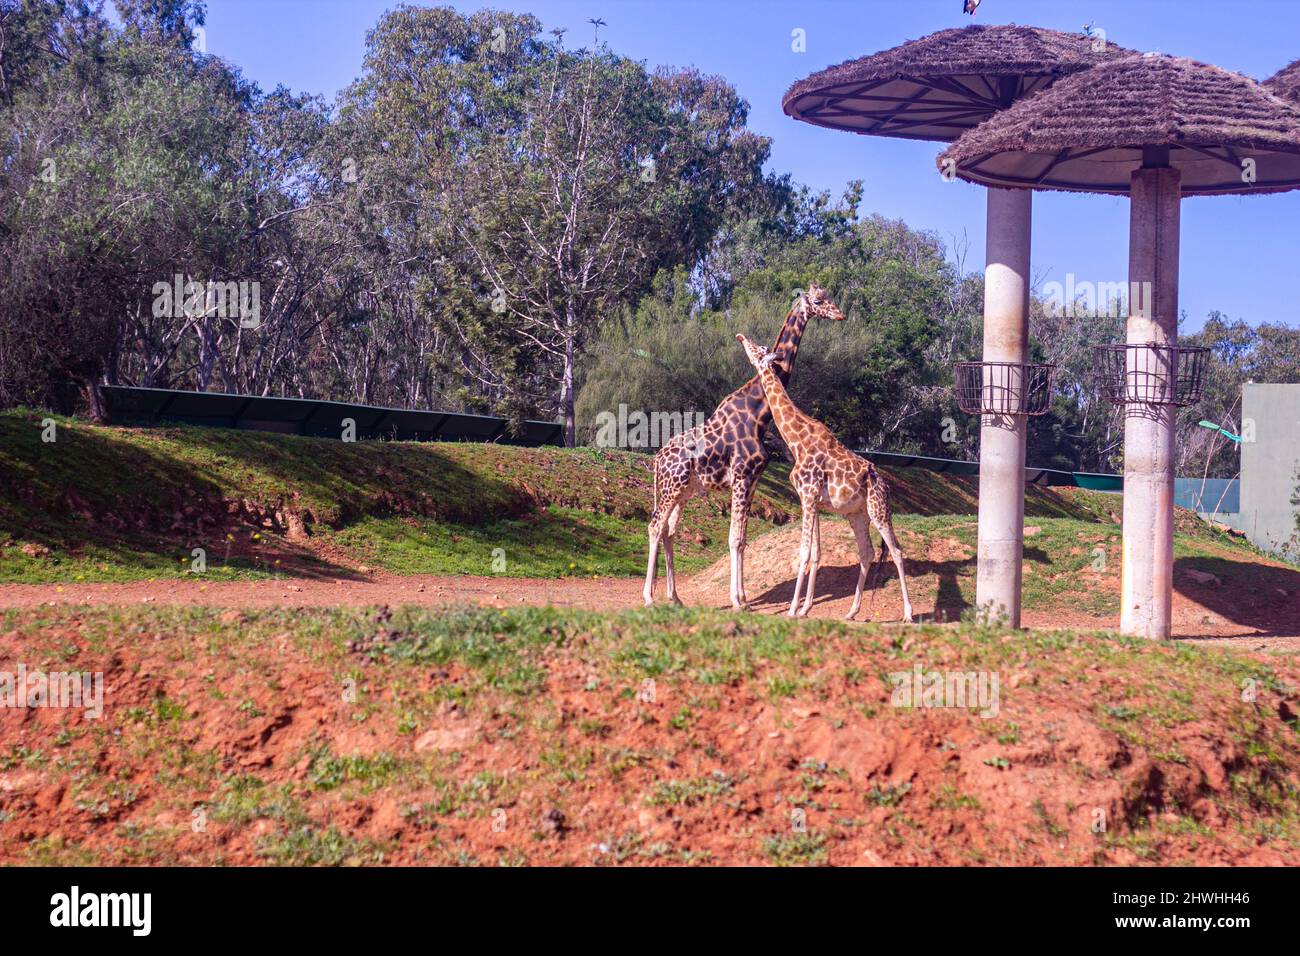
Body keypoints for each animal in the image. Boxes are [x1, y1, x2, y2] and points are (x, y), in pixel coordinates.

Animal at [643, 284, 846, 609]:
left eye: (829, 297)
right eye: (818, 300)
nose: (839, 314)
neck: (759, 412)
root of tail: (657, 461)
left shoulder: (752, 480)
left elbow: (742, 539)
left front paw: (745, 599)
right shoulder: (741, 476)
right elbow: (734, 539)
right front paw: (737, 601)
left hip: (683, 492)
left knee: (668, 531)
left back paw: (675, 597)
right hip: (671, 487)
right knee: (654, 527)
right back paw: (649, 598)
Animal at [736, 333, 914, 623]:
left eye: (759, 348)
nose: (741, 337)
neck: (796, 441)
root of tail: (885, 485)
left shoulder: (808, 495)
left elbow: (804, 551)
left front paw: (793, 610)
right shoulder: (813, 500)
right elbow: (816, 552)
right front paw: (805, 608)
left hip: (878, 510)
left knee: (896, 551)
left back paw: (908, 614)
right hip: (857, 514)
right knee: (867, 552)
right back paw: (851, 612)